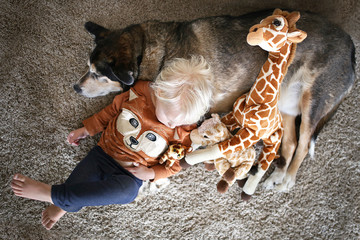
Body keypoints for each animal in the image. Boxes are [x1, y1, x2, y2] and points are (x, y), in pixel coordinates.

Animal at [73, 9, 354, 192]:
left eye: (98, 75)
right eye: (88, 68)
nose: (76, 87)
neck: (148, 49)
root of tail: (351, 44)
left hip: (312, 100)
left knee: (304, 143)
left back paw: (287, 181)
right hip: (283, 100)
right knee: (291, 142)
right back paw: (277, 176)